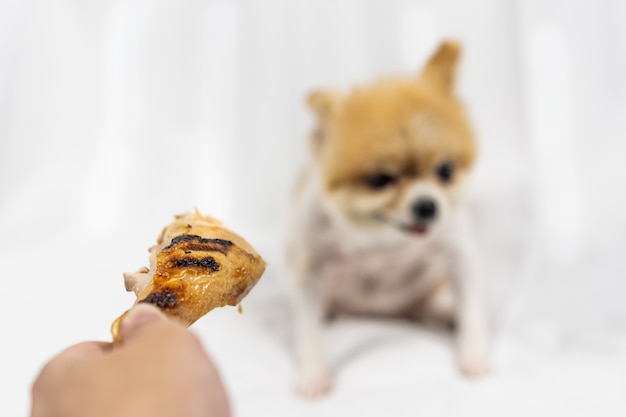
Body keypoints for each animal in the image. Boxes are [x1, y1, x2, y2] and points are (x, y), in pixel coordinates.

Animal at [286, 39, 488, 396]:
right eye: (381, 180)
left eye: (445, 170)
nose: (427, 206)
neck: (382, 240)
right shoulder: (310, 265)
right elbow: (309, 330)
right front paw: (313, 374)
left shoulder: (459, 253)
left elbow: (472, 308)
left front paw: (474, 354)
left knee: (428, 308)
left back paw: (445, 315)